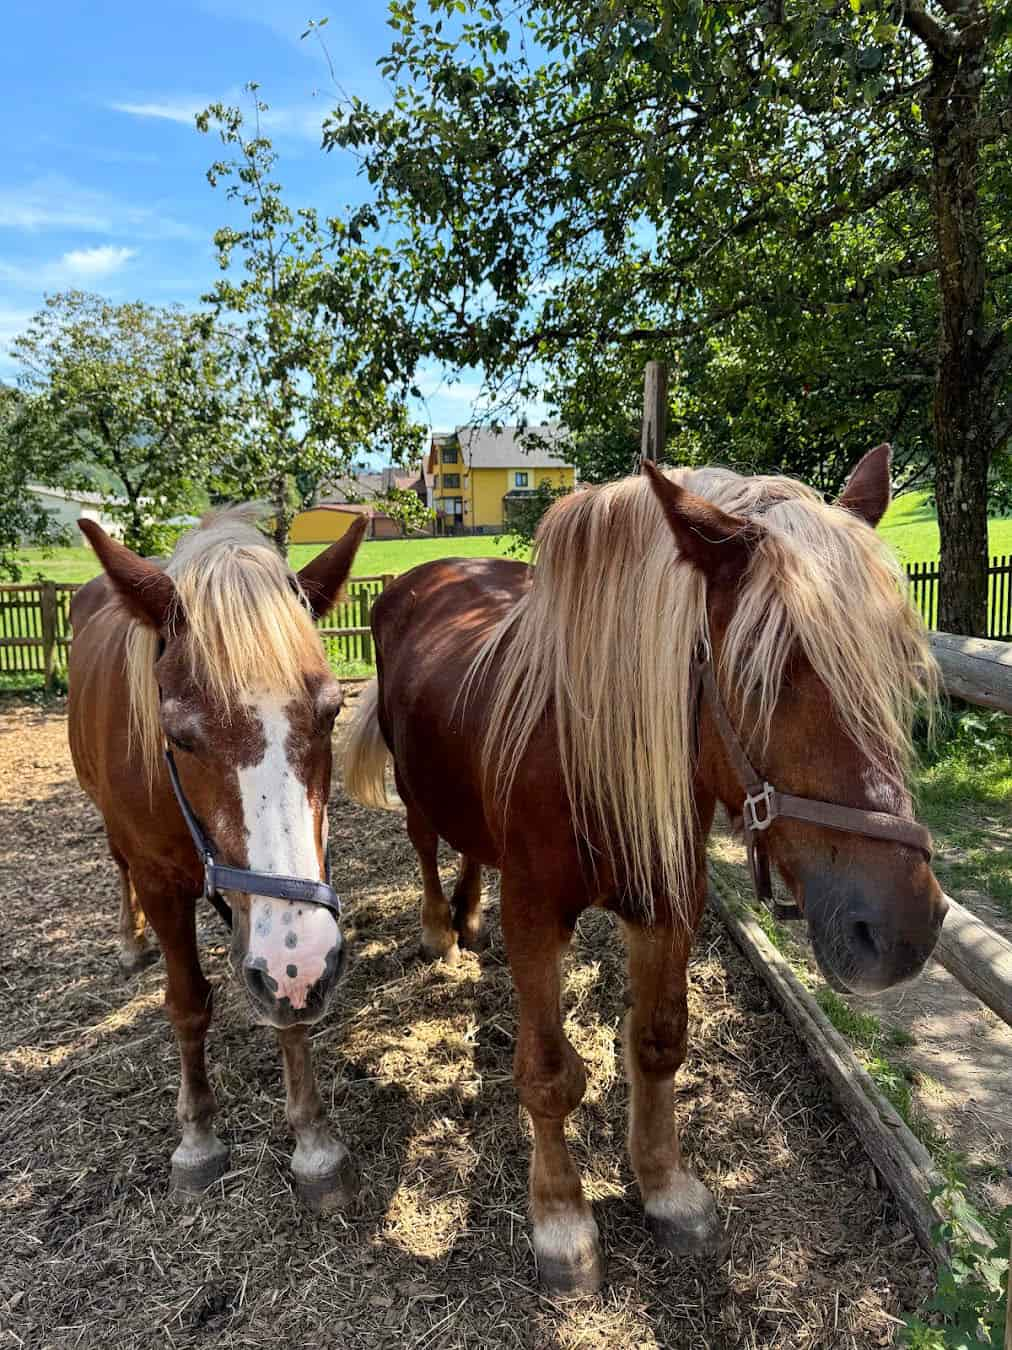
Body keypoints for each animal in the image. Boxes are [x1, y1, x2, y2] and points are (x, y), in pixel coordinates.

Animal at [69, 510, 369, 1209]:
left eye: (332, 711)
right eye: (178, 735)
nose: (297, 965)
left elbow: (288, 1005)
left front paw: (313, 1143)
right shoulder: (160, 881)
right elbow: (186, 1002)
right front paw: (197, 1137)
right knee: (116, 866)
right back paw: (130, 943)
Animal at [348, 448, 949, 1290]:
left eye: (895, 661)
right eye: (764, 672)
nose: (903, 931)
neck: (589, 754)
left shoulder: (669, 905)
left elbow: (659, 1045)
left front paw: (665, 1187)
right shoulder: (535, 920)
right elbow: (548, 1074)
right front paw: (561, 1216)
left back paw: (466, 916)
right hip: (413, 789)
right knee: (428, 844)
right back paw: (441, 928)